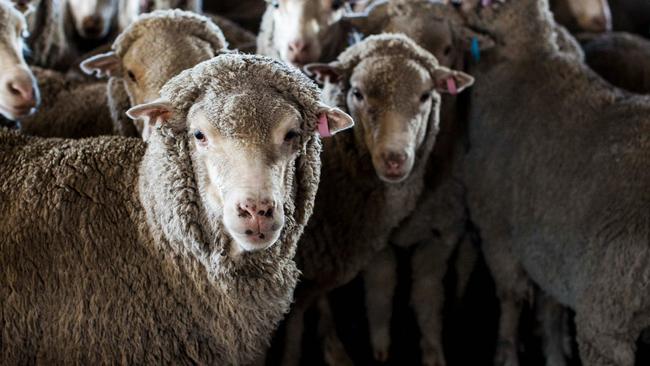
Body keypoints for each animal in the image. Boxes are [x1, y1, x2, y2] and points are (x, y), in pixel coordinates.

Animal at [458, 0, 648, 366]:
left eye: (487, 4)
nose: (455, 5)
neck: (529, 58)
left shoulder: (497, 226)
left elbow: (512, 296)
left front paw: (506, 351)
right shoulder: (549, 241)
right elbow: (550, 302)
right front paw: (554, 347)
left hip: (606, 307)